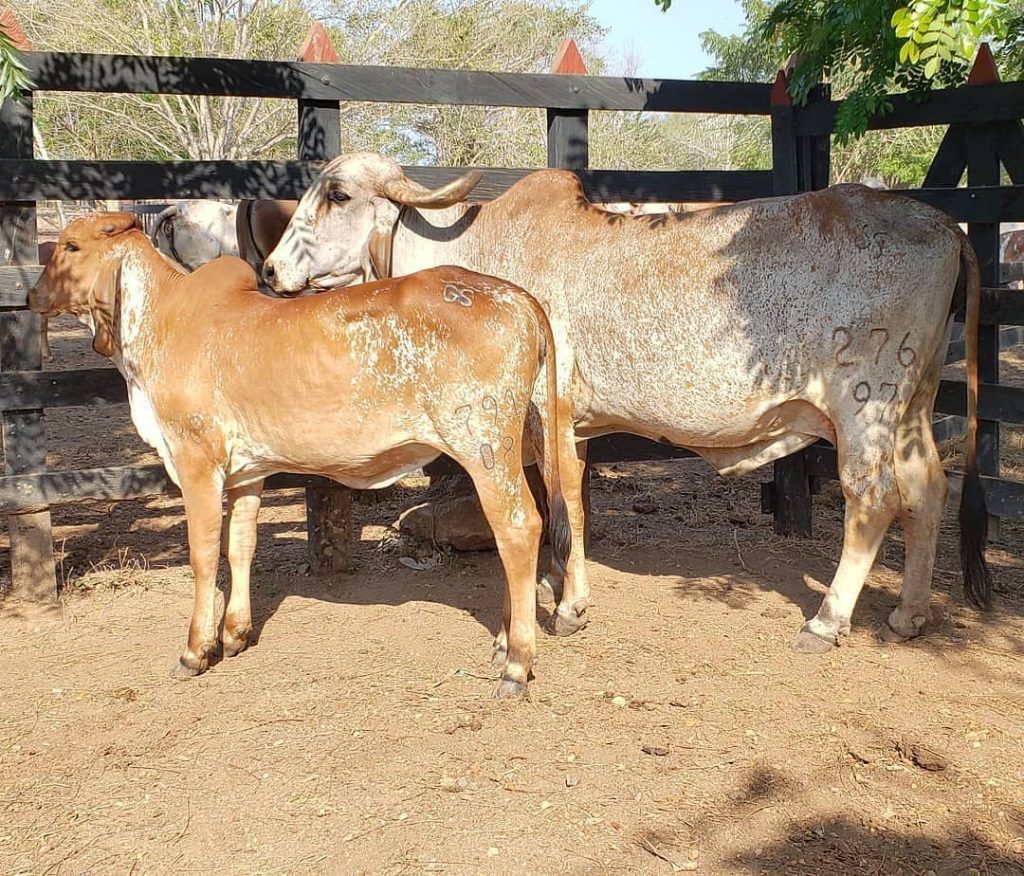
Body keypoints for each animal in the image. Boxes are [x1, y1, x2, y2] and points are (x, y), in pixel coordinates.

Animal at [29, 214, 577, 700]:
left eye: (71, 246)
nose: (33, 295)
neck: (159, 323)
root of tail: (520, 298)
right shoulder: (246, 473)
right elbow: (240, 546)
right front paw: (234, 635)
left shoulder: (196, 462)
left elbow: (203, 555)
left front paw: (195, 651)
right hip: (518, 446)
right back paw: (503, 641)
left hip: (483, 447)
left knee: (519, 527)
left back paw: (516, 664)